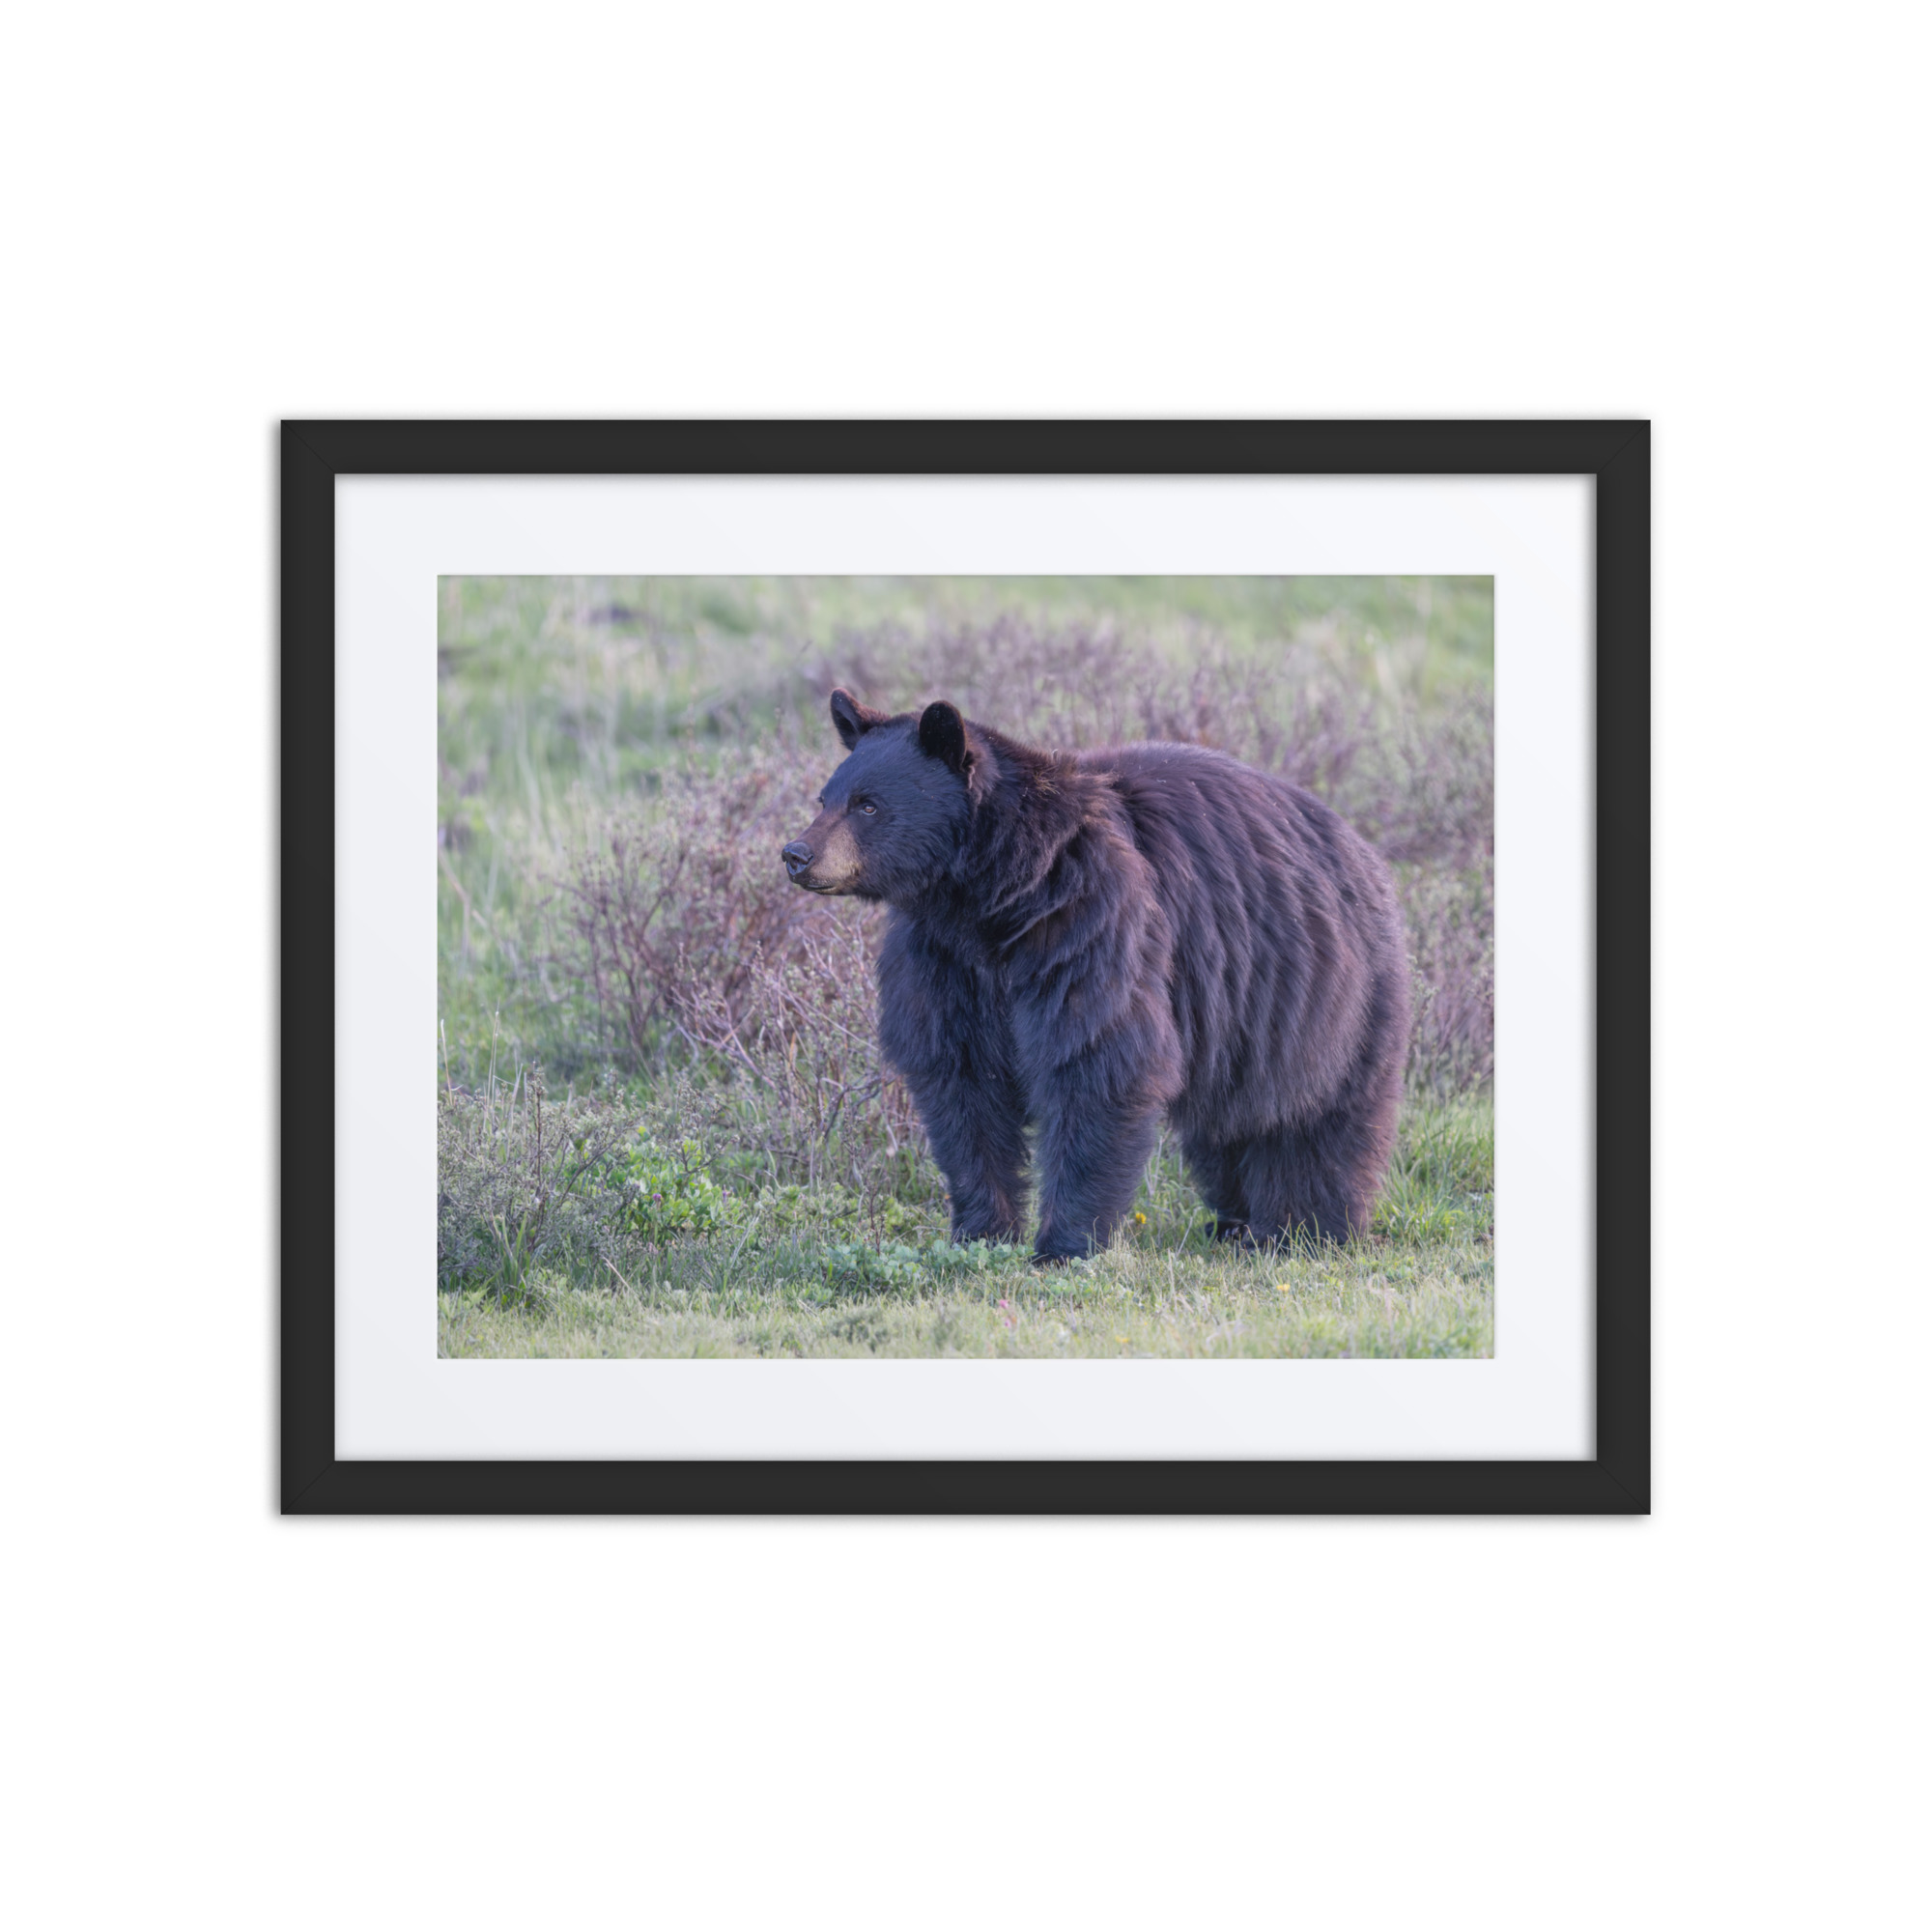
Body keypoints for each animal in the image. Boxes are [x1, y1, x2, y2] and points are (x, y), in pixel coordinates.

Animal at [781, 689, 1412, 1262]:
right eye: (825, 796)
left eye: (868, 805)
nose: (796, 854)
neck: (992, 897)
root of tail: (1361, 848)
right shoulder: (943, 961)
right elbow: (961, 1083)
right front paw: (981, 1232)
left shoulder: (1089, 923)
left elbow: (1096, 1060)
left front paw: (1063, 1245)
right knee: (1228, 1124)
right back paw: (1235, 1222)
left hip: (1325, 994)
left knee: (1318, 1118)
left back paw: (1304, 1228)